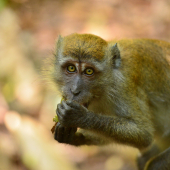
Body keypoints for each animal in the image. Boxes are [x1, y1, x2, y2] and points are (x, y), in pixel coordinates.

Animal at [51, 33, 170, 170]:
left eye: (89, 71)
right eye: (71, 68)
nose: (75, 90)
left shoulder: (123, 87)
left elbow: (144, 134)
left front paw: (79, 117)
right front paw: (72, 136)